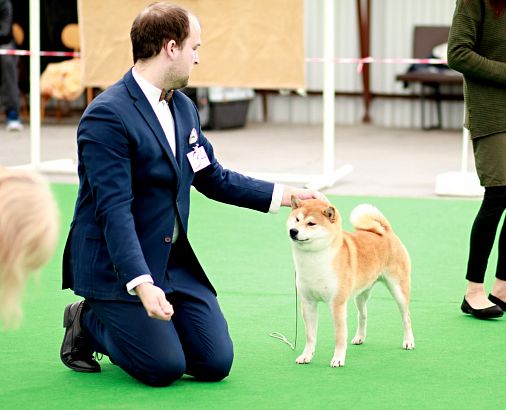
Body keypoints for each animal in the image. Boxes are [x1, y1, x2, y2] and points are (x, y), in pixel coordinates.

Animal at [286, 197, 414, 366]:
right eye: (297, 219)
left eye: (311, 223)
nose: (293, 231)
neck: (315, 259)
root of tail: (387, 231)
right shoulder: (308, 303)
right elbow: (310, 336)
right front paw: (306, 356)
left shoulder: (337, 304)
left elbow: (340, 336)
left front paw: (338, 359)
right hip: (361, 295)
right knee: (363, 315)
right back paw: (359, 337)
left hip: (398, 290)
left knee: (406, 317)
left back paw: (408, 341)